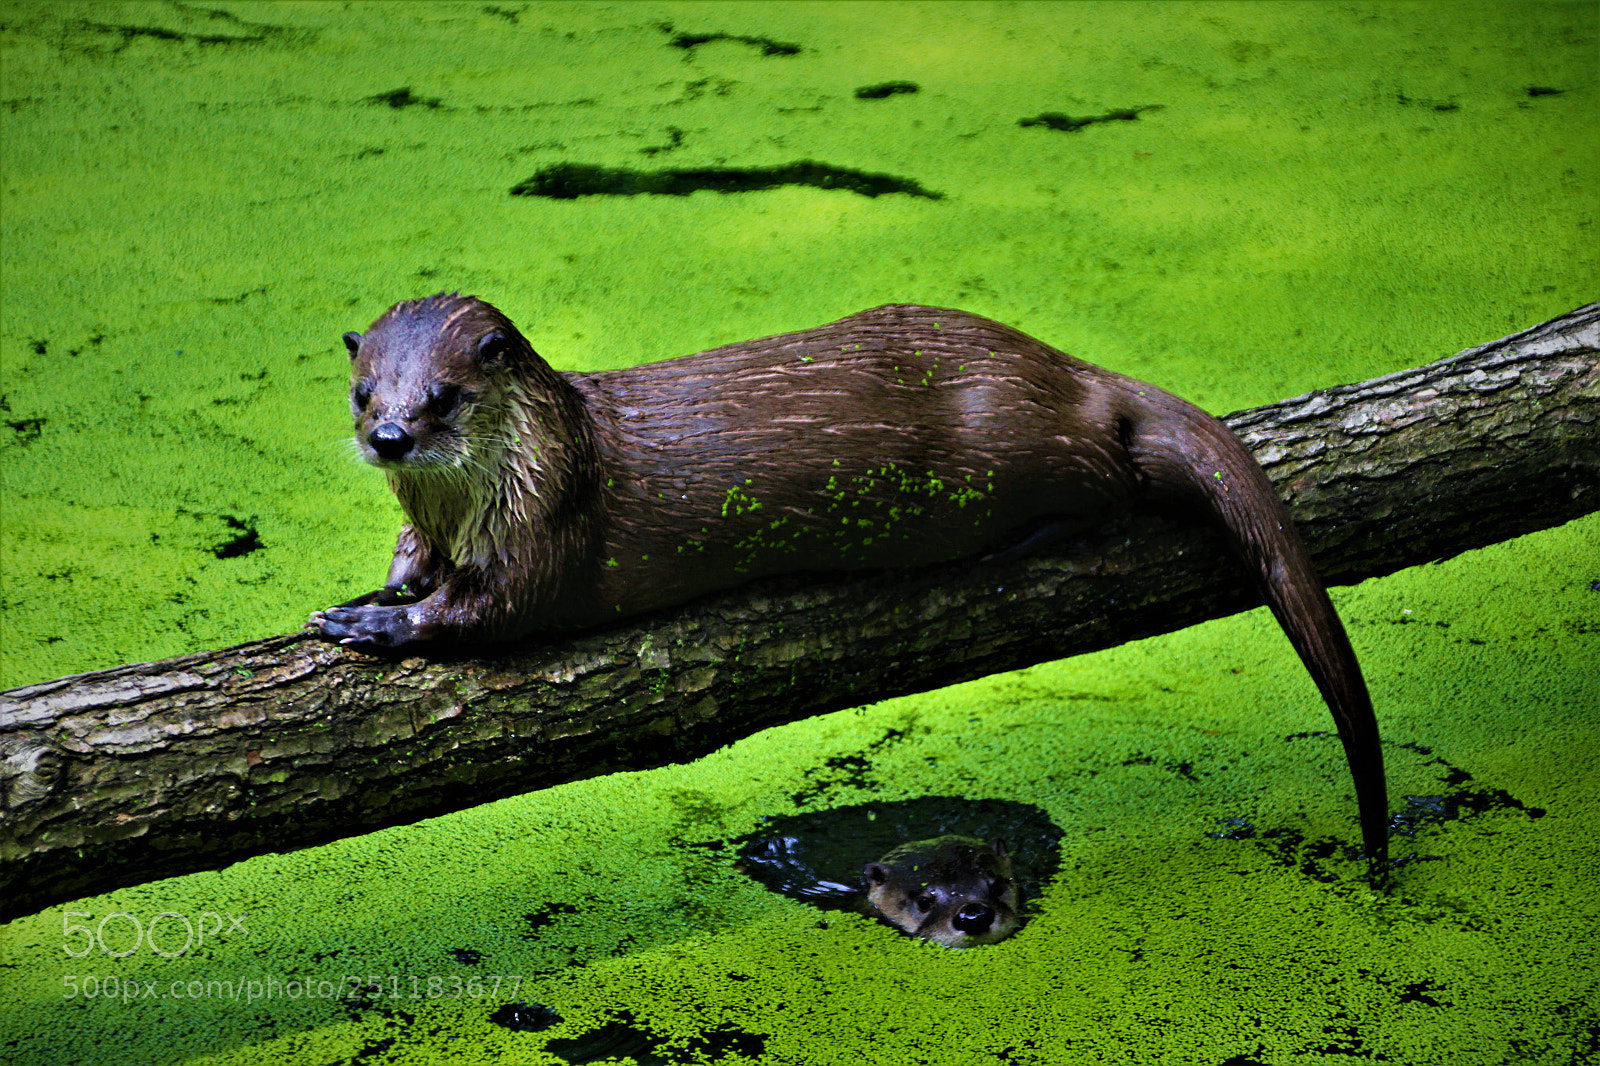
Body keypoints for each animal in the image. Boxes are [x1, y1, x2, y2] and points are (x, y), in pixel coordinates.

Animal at [307, 293, 1387, 874]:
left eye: (445, 396)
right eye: (363, 394)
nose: (390, 436)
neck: (479, 501)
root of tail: (1076, 373)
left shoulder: (547, 528)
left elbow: (490, 612)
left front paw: (372, 624)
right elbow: (416, 562)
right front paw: (388, 581)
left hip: (1015, 443)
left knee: (1107, 480)